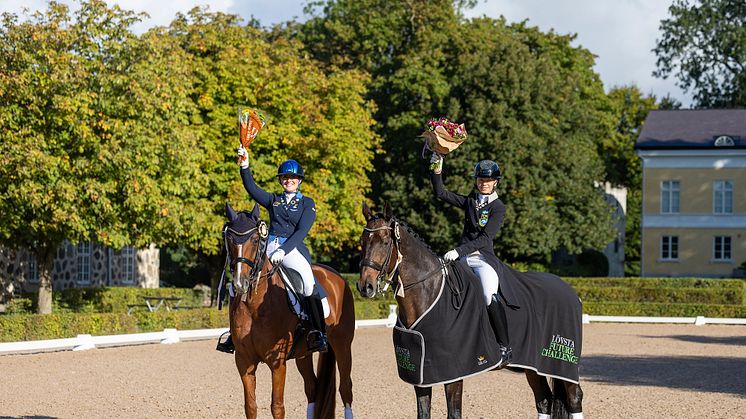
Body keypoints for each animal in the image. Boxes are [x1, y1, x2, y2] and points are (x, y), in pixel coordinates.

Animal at [222, 203, 356, 416]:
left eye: (255, 239)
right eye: (230, 239)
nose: (240, 283)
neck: (254, 304)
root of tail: (336, 275)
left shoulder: (277, 363)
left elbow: (277, 406)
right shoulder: (244, 361)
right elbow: (250, 407)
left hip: (342, 344)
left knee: (345, 387)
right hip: (304, 353)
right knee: (312, 388)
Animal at [356, 203, 580, 419]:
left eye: (385, 242)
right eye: (362, 241)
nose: (365, 286)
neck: (430, 292)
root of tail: (569, 289)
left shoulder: (455, 374)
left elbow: (454, 413)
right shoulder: (420, 374)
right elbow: (423, 412)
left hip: (563, 364)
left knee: (574, 398)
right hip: (532, 365)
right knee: (544, 399)